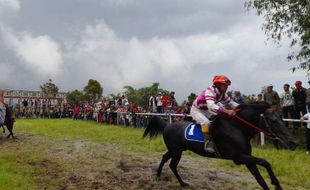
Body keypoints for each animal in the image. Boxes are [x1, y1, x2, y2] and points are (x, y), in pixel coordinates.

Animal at [144, 102, 296, 190]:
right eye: (274, 120)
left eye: (282, 118)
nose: (293, 142)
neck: (236, 127)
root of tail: (167, 125)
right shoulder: (239, 157)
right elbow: (264, 162)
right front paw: (276, 183)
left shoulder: (246, 157)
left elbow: (261, 178)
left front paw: (274, 183)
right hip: (176, 151)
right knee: (172, 165)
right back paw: (181, 183)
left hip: (176, 149)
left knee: (165, 158)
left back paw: (159, 176)